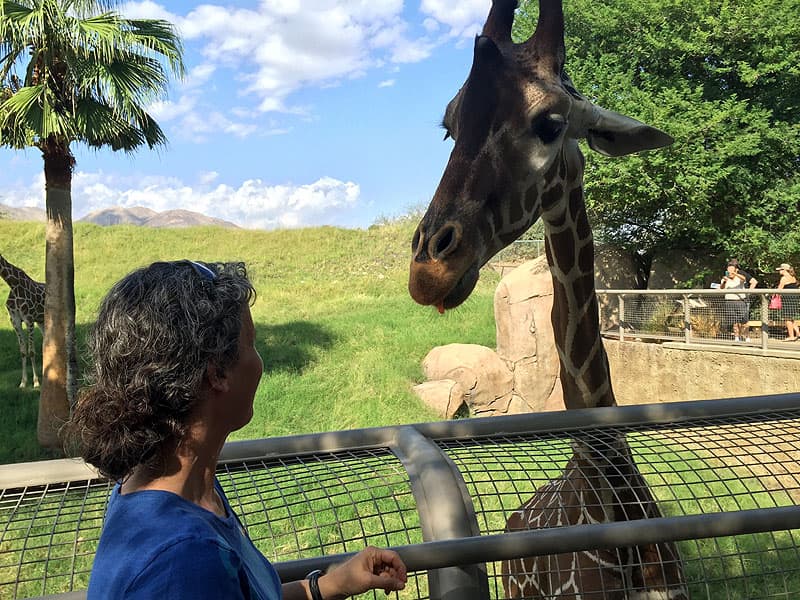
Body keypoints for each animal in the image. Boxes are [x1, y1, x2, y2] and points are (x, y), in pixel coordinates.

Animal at [0, 253, 45, 390]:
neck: (13, 284)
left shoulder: (29, 319)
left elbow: (31, 351)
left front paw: (36, 382)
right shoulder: (14, 320)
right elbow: (23, 351)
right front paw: (23, 382)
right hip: (41, 321)